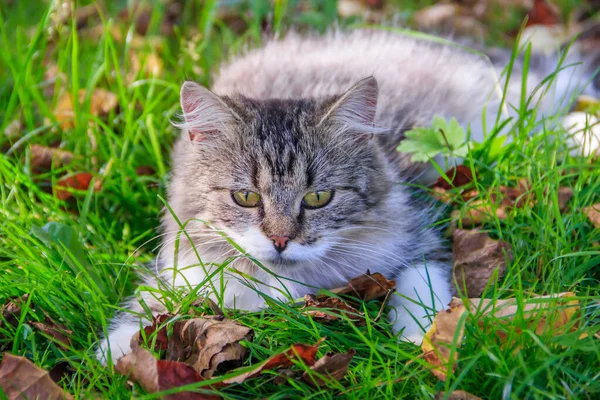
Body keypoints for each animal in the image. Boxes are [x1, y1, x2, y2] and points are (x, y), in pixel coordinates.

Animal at [96, 29, 596, 364]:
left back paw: (582, 133)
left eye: (318, 197)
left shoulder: (420, 228)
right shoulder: (183, 270)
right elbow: (148, 305)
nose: (281, 240)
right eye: (245, 198)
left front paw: (419, 337)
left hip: (496, 123)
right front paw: (117, 352)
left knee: (545, 108)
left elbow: (418, 282)